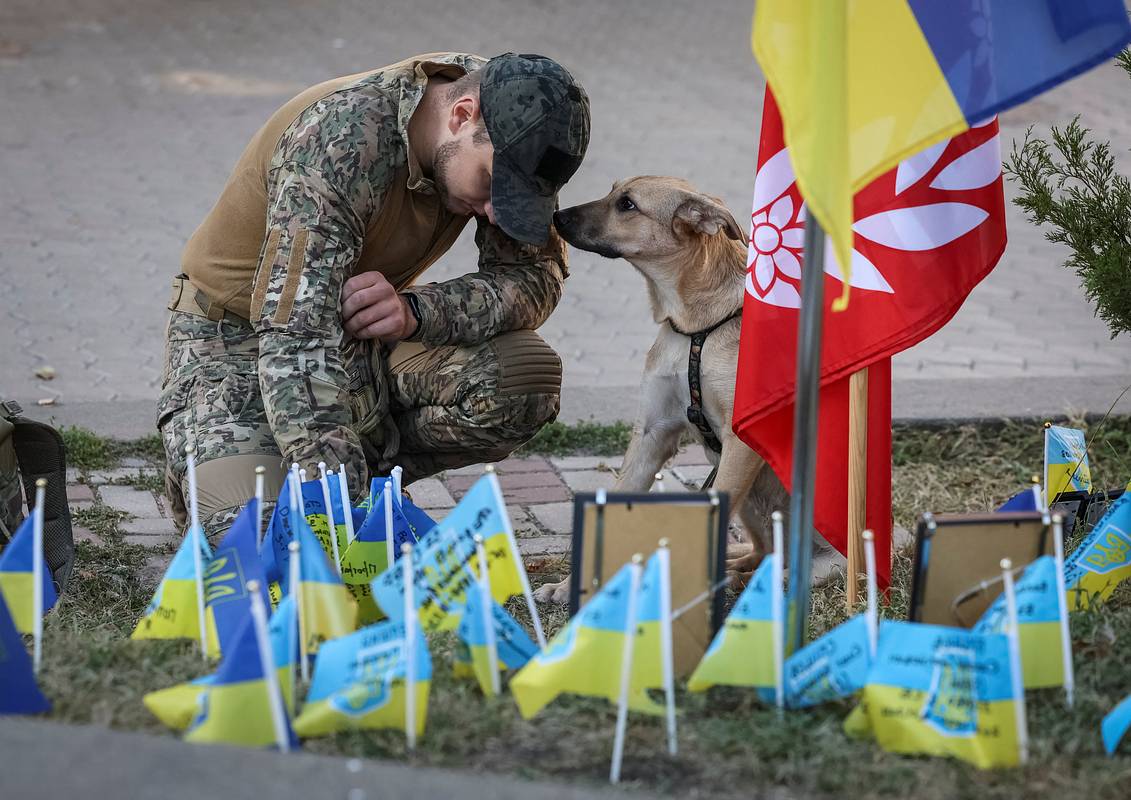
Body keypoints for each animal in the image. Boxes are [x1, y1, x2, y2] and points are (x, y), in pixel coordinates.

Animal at [531, 173, 805, 601]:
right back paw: (736, 568)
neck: (694, 327)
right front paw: (571, 586)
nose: (557, 217)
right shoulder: (652, 432)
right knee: (762, 550)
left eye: (627, 204)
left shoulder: (740, 441)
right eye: (612, 190)